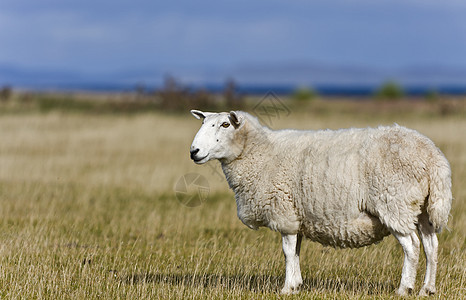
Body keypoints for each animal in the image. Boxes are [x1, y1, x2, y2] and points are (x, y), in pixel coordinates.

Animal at [188, 109, 452, 296]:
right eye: (203, 124)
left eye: (225, 125)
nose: (194, 151)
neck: (259, 153)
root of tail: (432, 156)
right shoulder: (297, 216)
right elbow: (295, 251)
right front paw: (296, 284)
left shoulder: (284, 212)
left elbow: (287, 252)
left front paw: (287, 288)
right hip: (423, 209)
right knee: (431, 246)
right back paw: (427, 289)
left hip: (395, 204)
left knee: (412, 247)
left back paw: (404, 288)